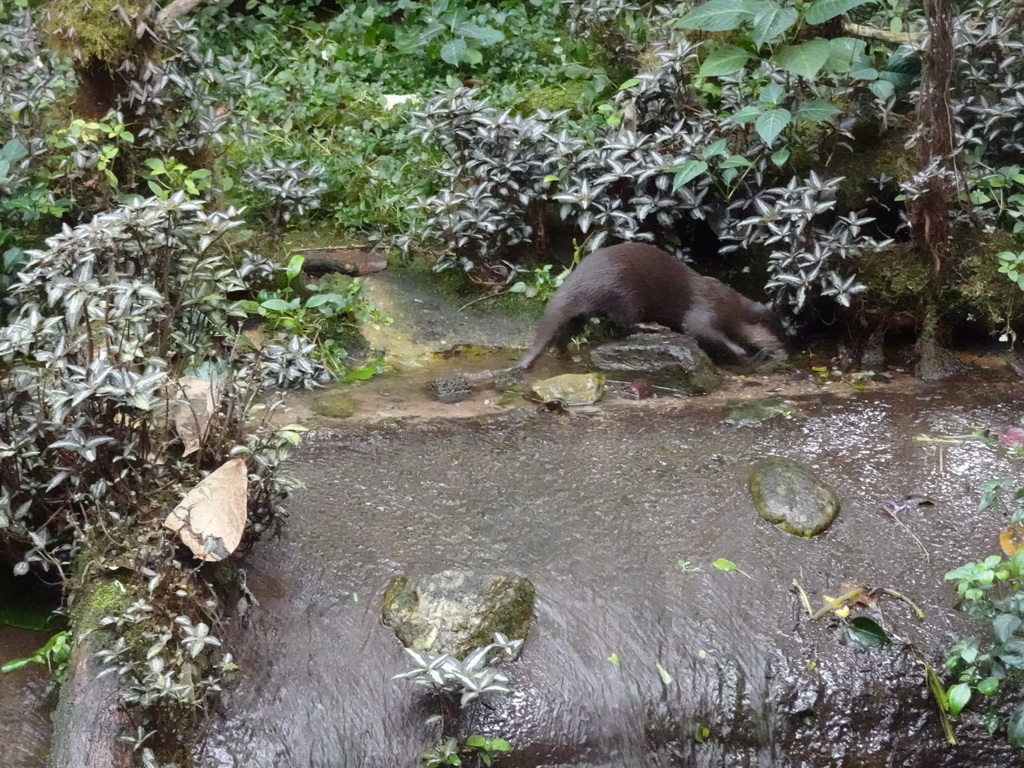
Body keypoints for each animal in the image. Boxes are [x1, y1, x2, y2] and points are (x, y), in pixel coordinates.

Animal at [516, 241, 786, 370]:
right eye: (779, 336)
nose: (787, 351)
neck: (731, 307)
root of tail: (580, 278)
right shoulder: (708, 307)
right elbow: (699, 329)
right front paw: (740, 350)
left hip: (583, 313)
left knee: (568, 328)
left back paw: (562, 351)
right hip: (625, 291)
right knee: (628, 322)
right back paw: (654, 327)